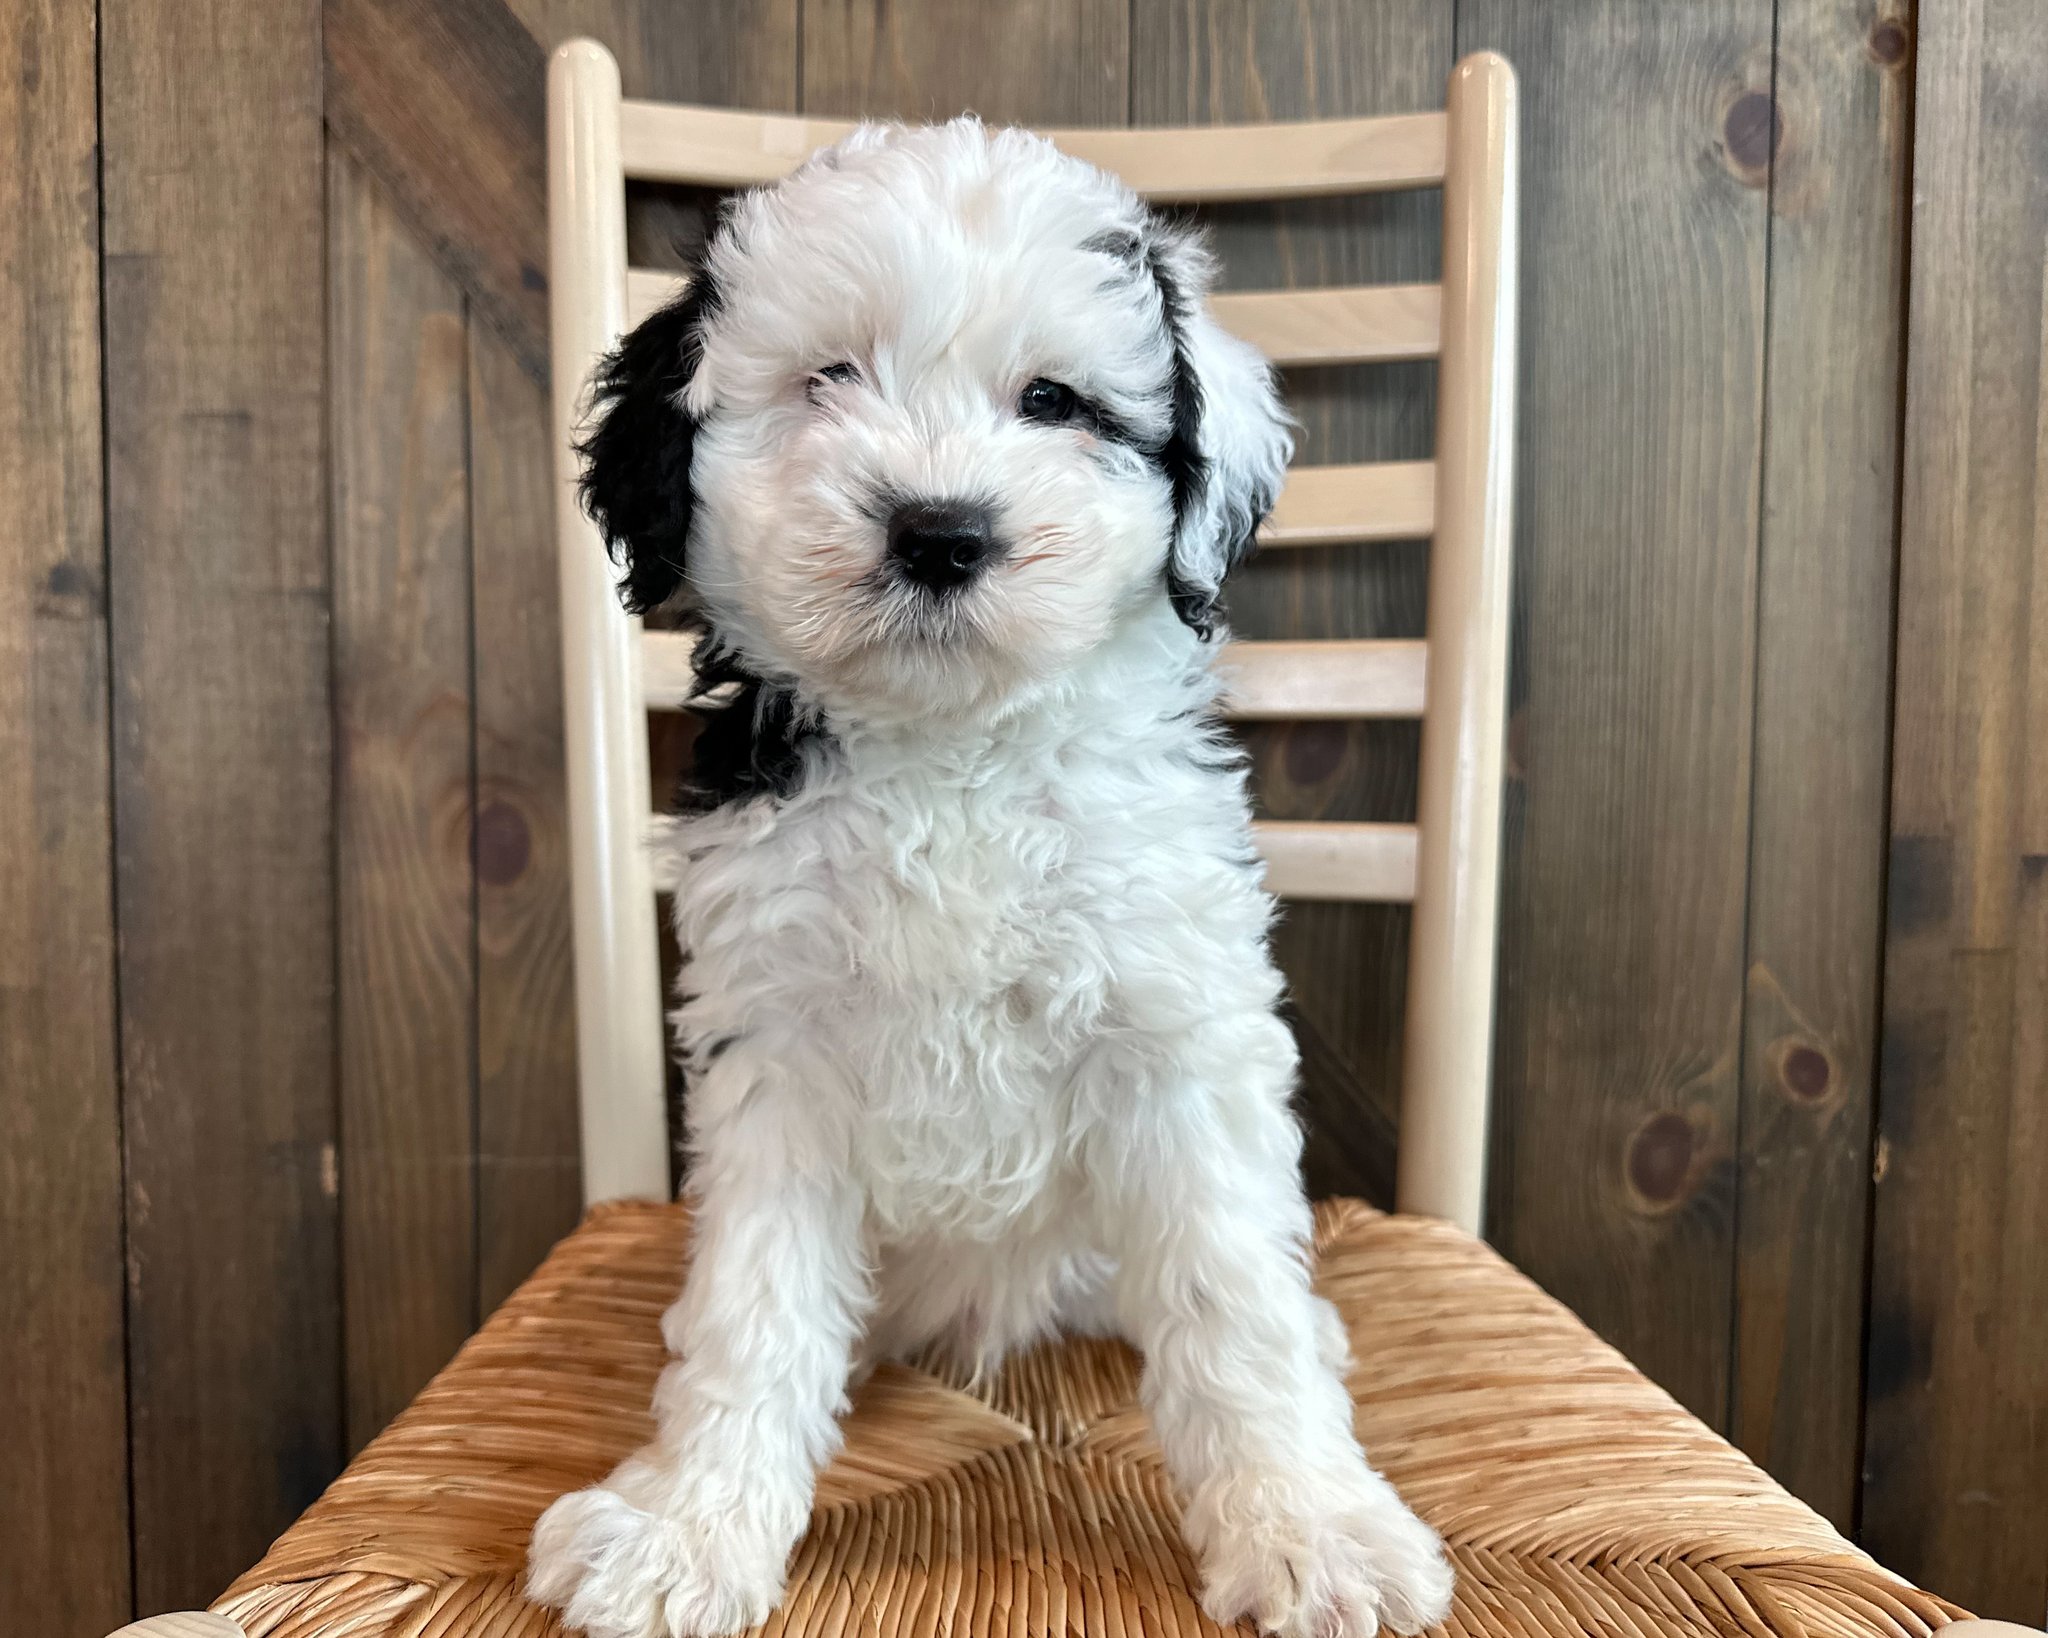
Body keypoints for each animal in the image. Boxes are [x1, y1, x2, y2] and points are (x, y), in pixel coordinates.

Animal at [528, 121, 1458, 1637]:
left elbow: (1229, 1297)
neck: (948, 743)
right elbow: (751, 1307)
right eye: (827, 379)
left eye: (1054, 400)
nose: (939, 531)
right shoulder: (776, 1045)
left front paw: (1309, 1528)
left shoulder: (1172, 1025)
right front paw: (686, 1528)